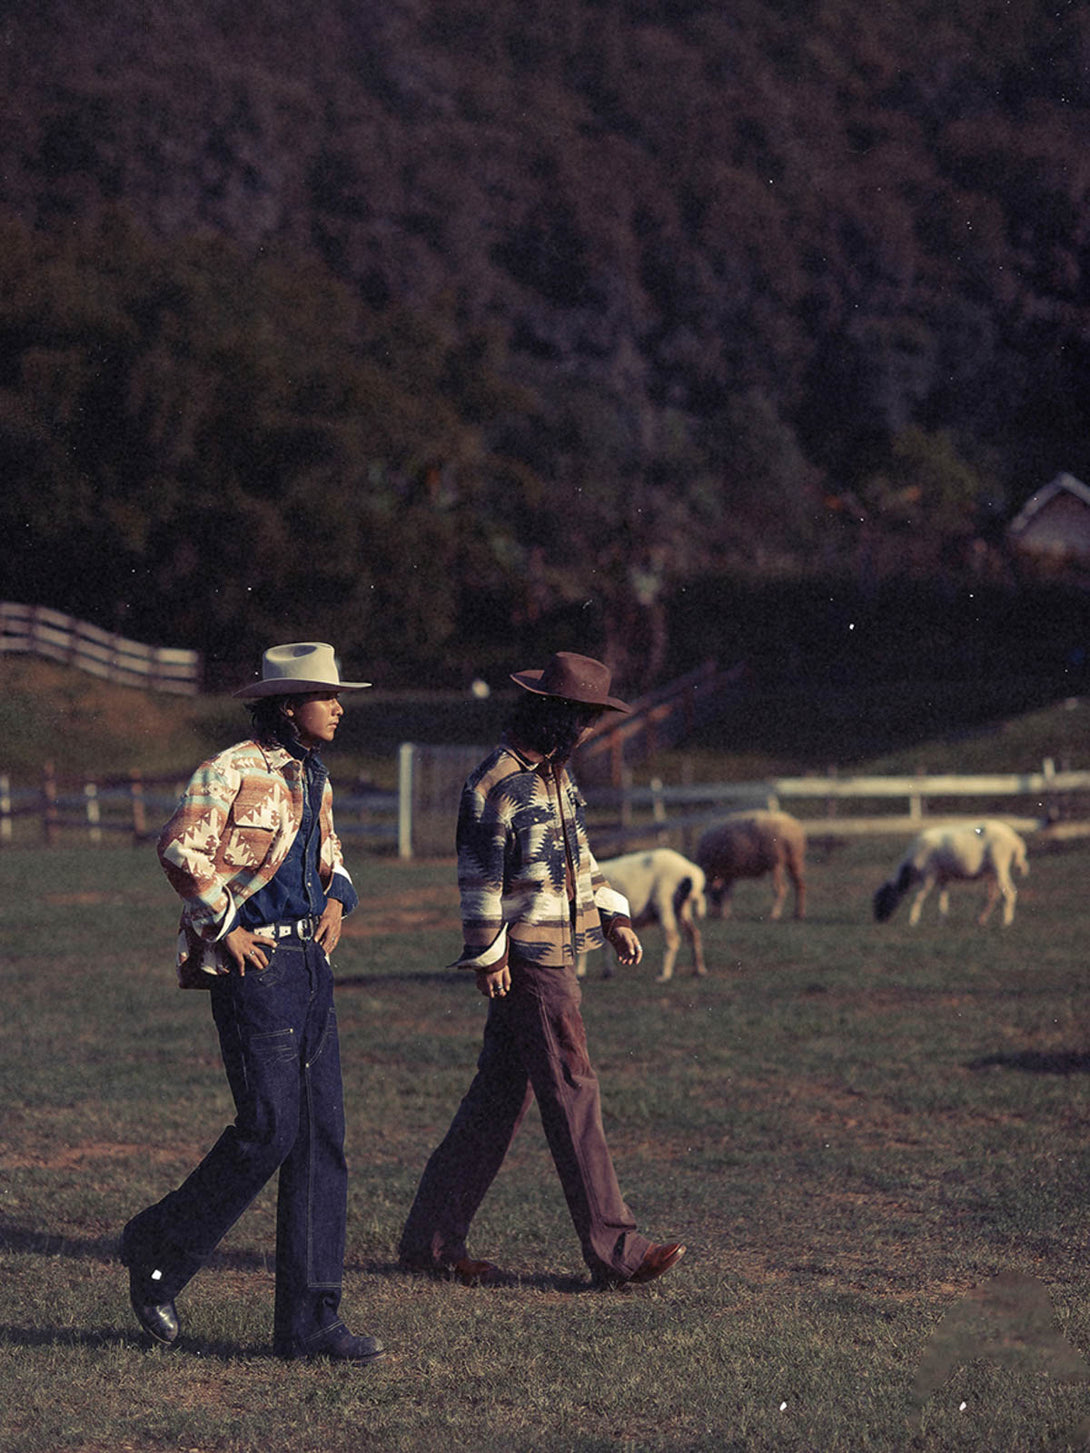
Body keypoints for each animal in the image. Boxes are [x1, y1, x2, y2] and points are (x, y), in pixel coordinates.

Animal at [575, 848, 712, 982]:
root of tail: (690, 870)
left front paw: (580, 973)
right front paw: (607, 972)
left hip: (664, 901)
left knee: (672, 939)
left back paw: (664, 974)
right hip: (681, 907)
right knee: (694, 934)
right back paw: (699, 970)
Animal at [872, 825, 1034, 924]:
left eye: (882, 899)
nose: (879, 920)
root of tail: (1016, 841)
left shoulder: (929, 875)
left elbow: (920, 896)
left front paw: (913, 920)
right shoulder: (943, 877)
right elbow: (943, 897)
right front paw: (942, 920)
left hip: (1000, 865)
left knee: (1010, 893)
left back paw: (1006, 923)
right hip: (992, 872)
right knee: (993, 896)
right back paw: (982, 919)